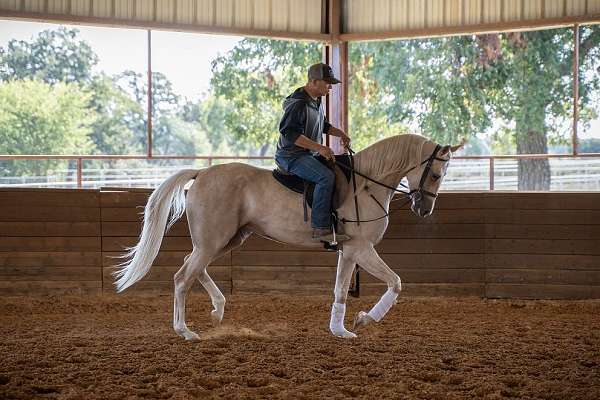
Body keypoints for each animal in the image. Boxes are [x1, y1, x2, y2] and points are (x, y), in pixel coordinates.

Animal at [115, 134, 466, 340]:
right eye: (436, 174)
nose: (424, 208)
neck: (366, 184)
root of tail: (201, 173)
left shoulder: (348, 251)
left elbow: (341, 290)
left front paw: (340, 329)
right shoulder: (361, 249)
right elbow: (395, 282)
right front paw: (365, 320)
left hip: (224, 240)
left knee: (193, 267)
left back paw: (217, 309)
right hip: (213, 241)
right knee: (182, 277)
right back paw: (184, 330)